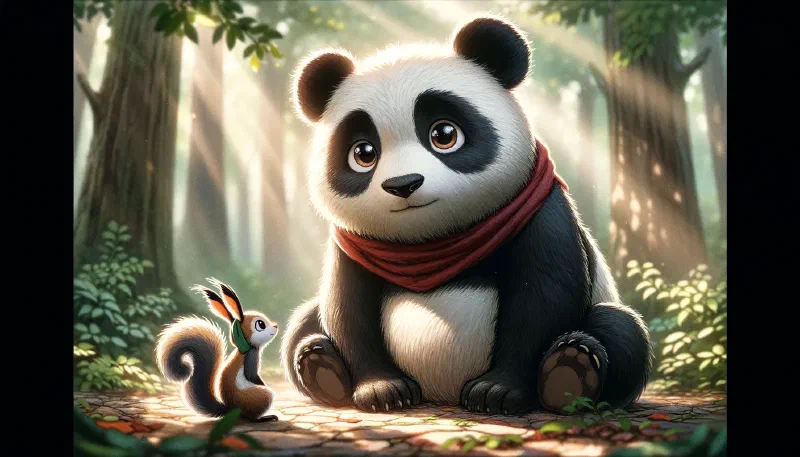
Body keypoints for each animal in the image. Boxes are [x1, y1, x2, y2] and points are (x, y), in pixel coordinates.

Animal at [280, 16, 653, 415]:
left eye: (444, 134)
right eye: (363, 153)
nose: (403, 184)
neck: (431, 241)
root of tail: (439, 392)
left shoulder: (538, 208)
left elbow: (544, 295)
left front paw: (497, 391)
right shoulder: (352, 242)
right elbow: (347, 307)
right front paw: (381, 390)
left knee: (619, 329)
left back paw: (570, 373)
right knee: (303, 322)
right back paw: (321, 366)